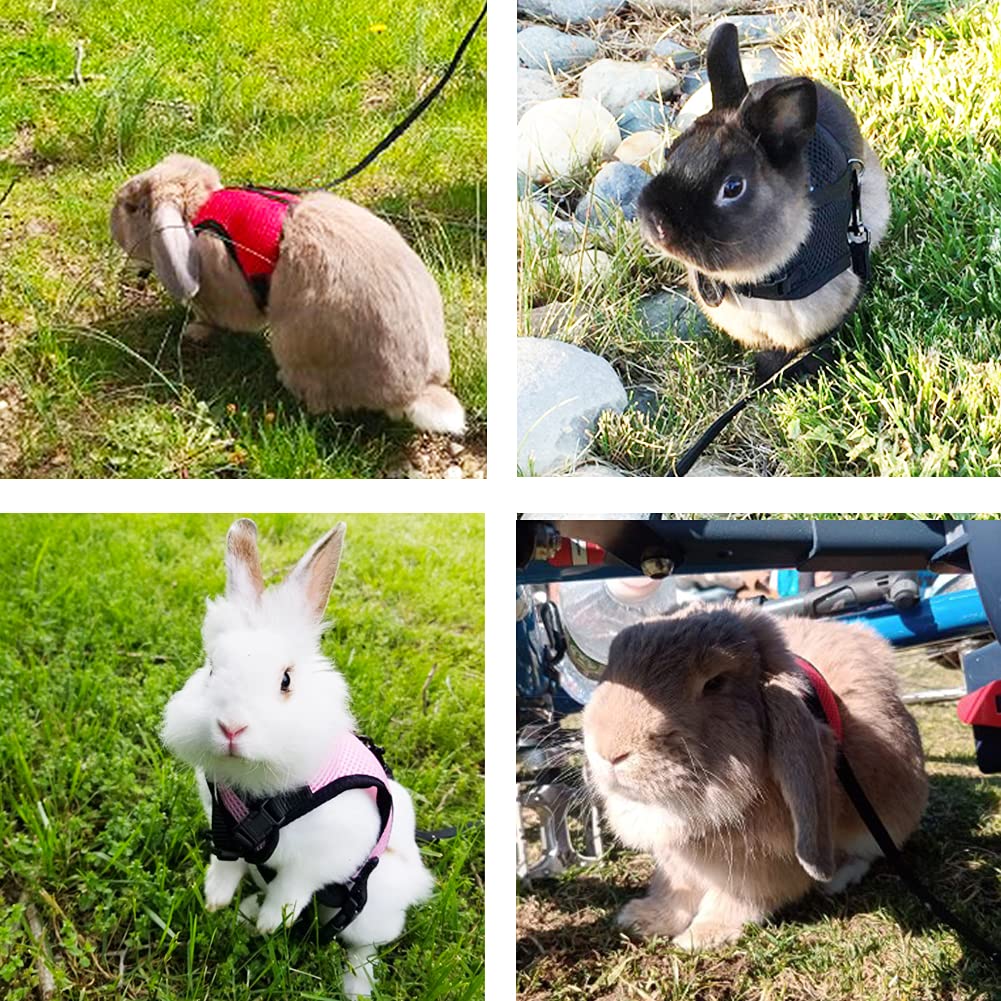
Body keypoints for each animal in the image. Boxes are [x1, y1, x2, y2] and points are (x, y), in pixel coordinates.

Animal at [111, 154, 465, 435]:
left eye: (132, 208)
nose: (111, 222)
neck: (200, 209)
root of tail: (416, 389)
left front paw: (194, 331)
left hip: (295, 343)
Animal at [161, 518, 435, 998]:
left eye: (286, 681)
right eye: (210, 669)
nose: (231, 728)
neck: (259, 793)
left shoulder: (329, 852)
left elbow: (294, 884)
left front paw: (273, 924)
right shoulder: (225, 834)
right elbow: (226, 865)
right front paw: (216, 900)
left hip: (370, 908)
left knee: (362, 947)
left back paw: (354, 985)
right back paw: (247, 910)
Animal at [582, 601, 927, 951]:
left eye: (715, 683)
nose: (609, 751)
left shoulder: (755, 873)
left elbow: (733, 902)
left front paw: (701, 935)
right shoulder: (675, 867)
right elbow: (673, 894)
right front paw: (641, 918)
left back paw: (836, 880)